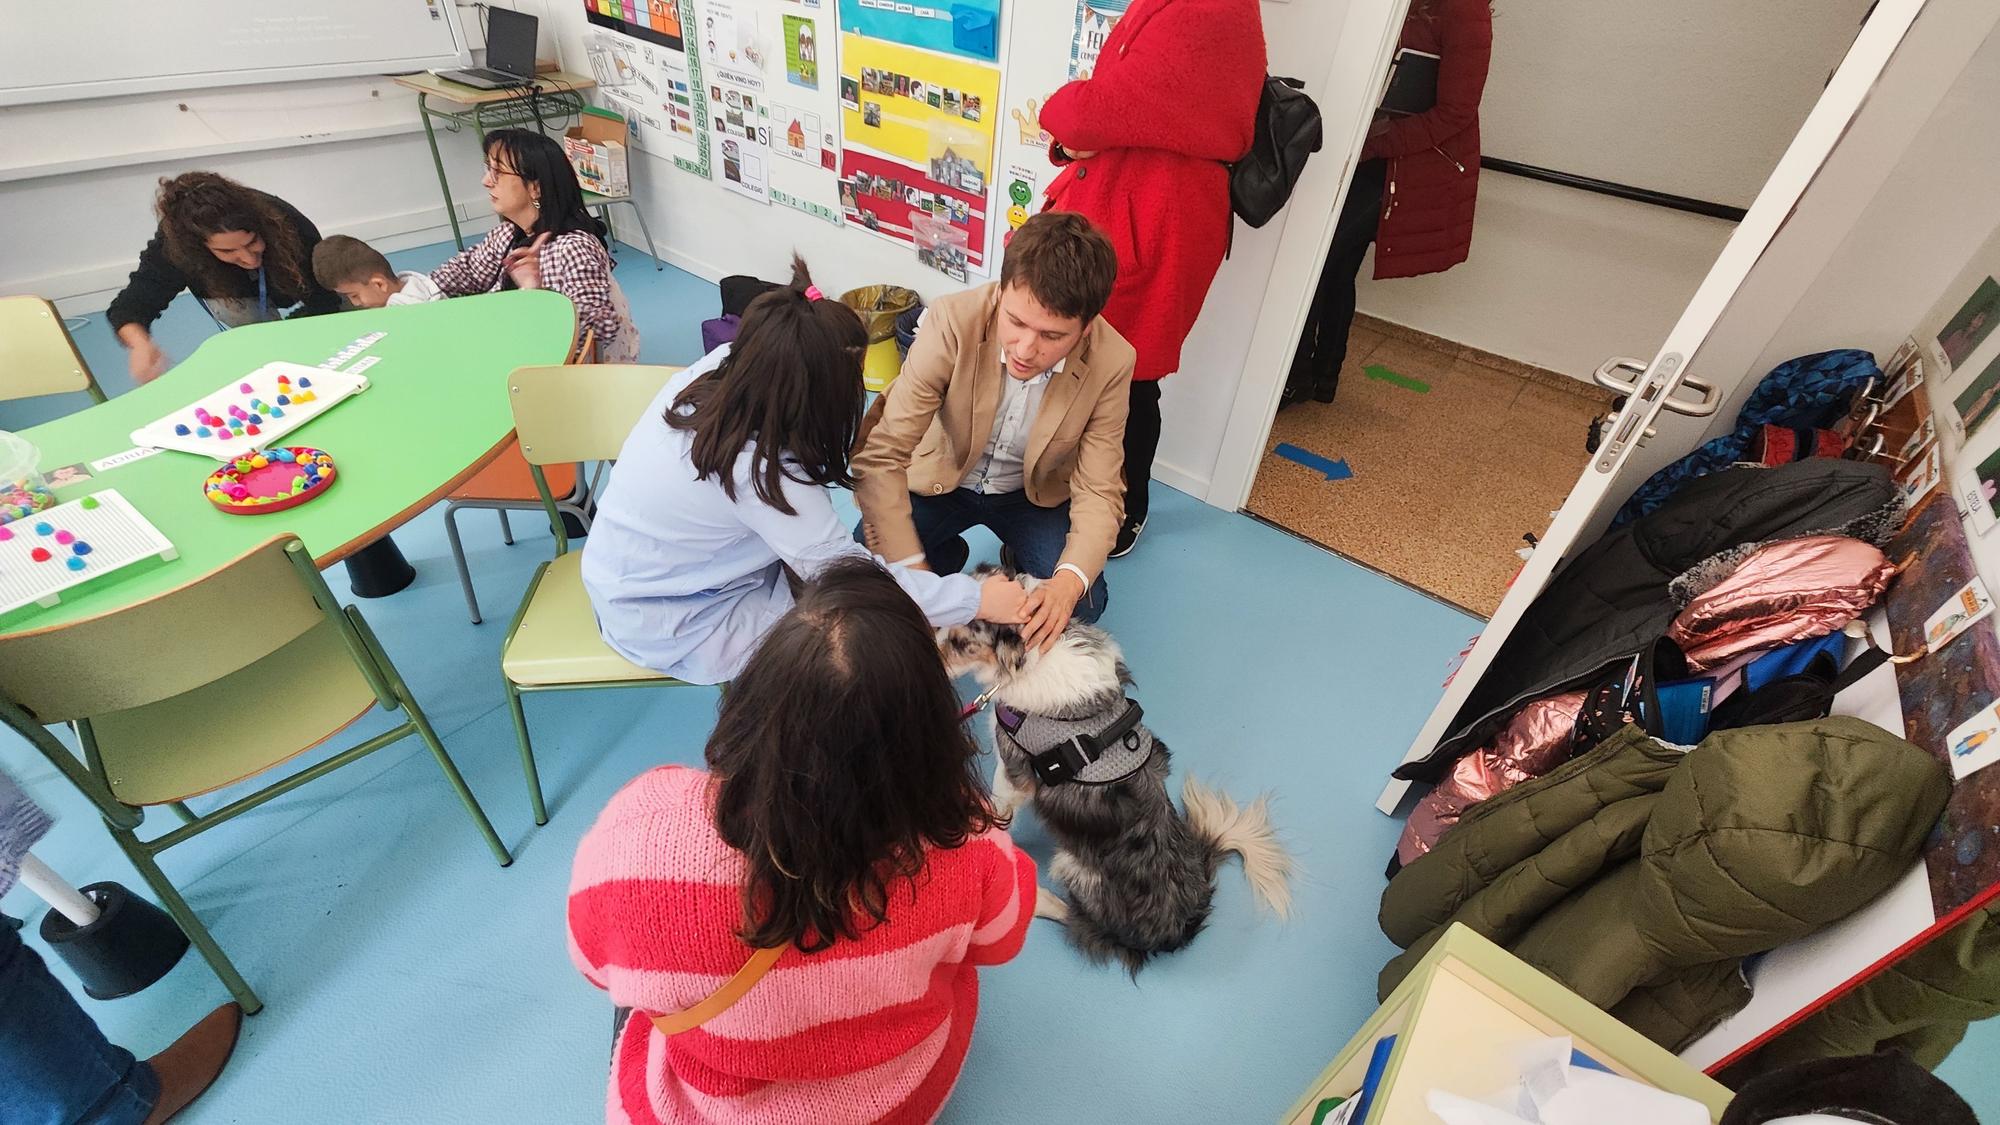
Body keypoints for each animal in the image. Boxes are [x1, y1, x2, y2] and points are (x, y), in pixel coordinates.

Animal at [940, 564, 1296, 968]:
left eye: (961, 643)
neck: (1034, 653)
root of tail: (1180, 930)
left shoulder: (1014, 770)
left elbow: (1001, 810)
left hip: (1073, 866)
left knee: (1075, 917)